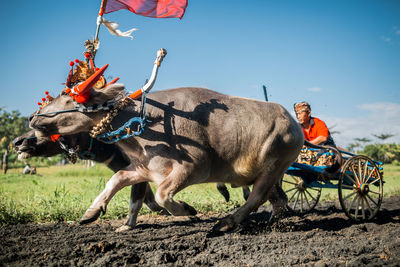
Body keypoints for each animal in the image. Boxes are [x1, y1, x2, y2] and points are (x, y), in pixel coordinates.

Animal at [29, 86, 302, 232]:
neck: (147, 124)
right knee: (277, 198)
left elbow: (161, 194)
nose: (33, 117)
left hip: (274, 164)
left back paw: (227, 222)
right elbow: (116, 180)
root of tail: (293, 123)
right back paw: (278, 220)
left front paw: (187, 209)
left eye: (67, 97)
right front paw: (91, 212)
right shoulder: (143, 169)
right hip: (269, 172)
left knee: (257, 196)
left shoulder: (195, 166)